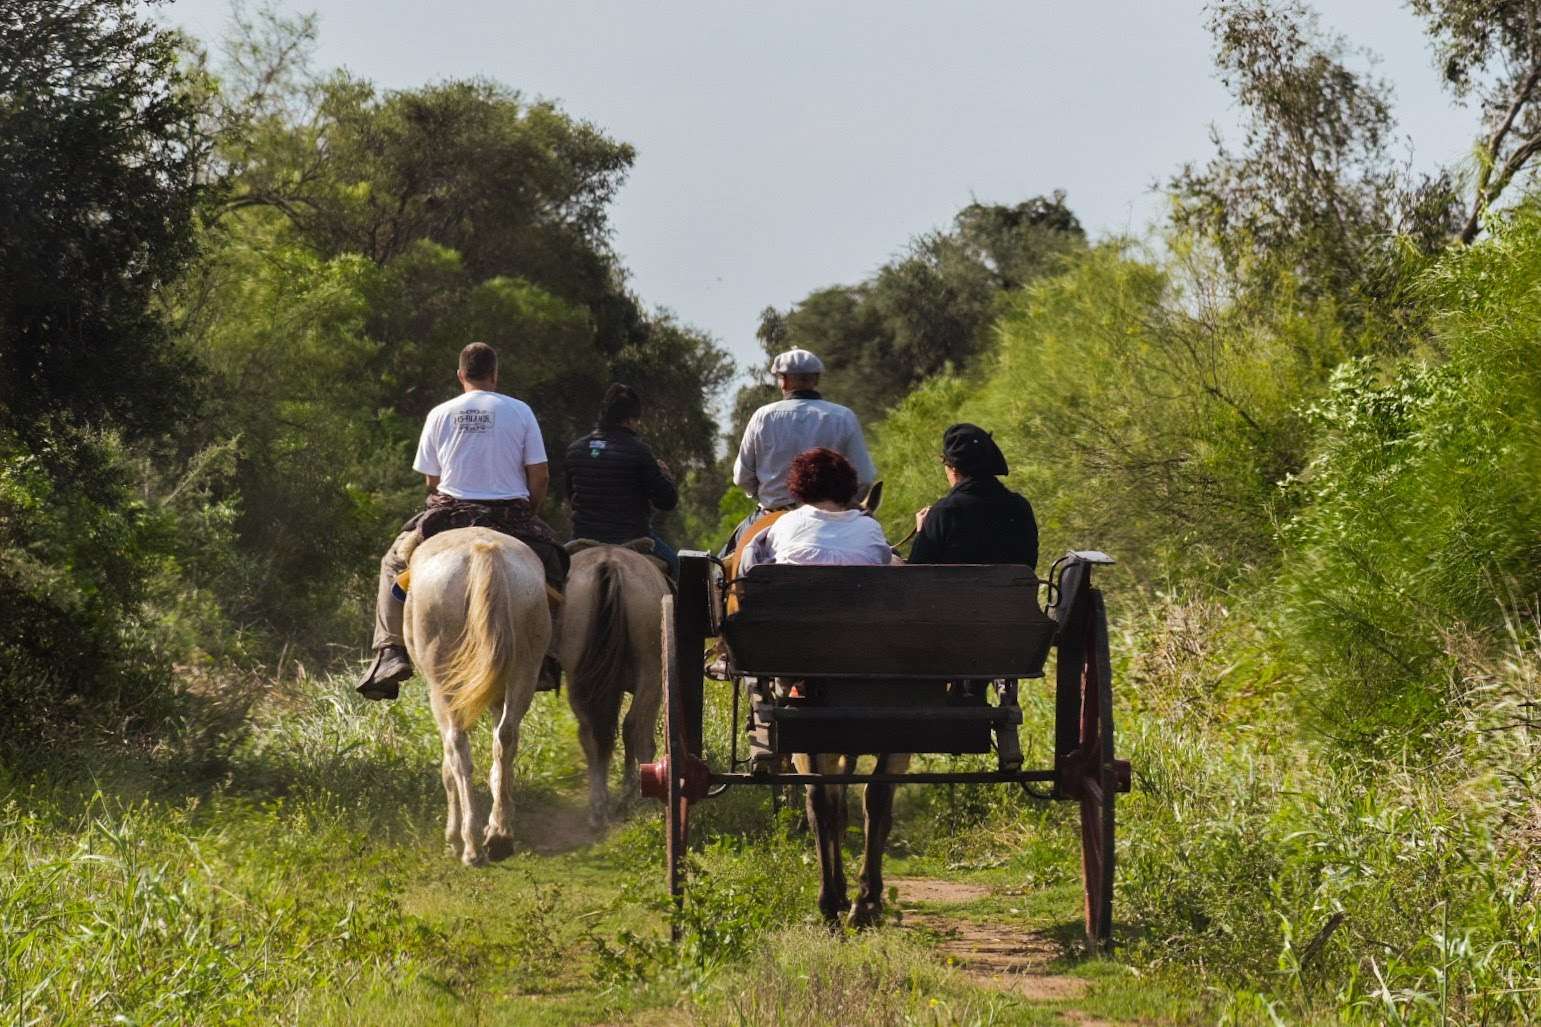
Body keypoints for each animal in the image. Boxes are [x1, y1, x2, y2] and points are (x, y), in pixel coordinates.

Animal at [403, 524, 554, 857]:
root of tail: (483, 551)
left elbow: (448, 765)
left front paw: (452, 834)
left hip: (443, 684)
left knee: (458, 748)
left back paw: (469, 843)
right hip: (524, 669)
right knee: (507, 737)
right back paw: (499, 834)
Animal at [560, 539, 668, 826]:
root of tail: (609, 561)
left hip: (578, 677)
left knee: (590, 732)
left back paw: (599, 806)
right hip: (650, 673)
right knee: (631, 726)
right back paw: (631, 792)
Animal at [637, 548, 1134, 949]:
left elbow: (839, 804)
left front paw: (851, 900)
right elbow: (846, 803)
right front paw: (856, 899)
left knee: (835, 801)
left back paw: (842, 902)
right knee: (851, 800)